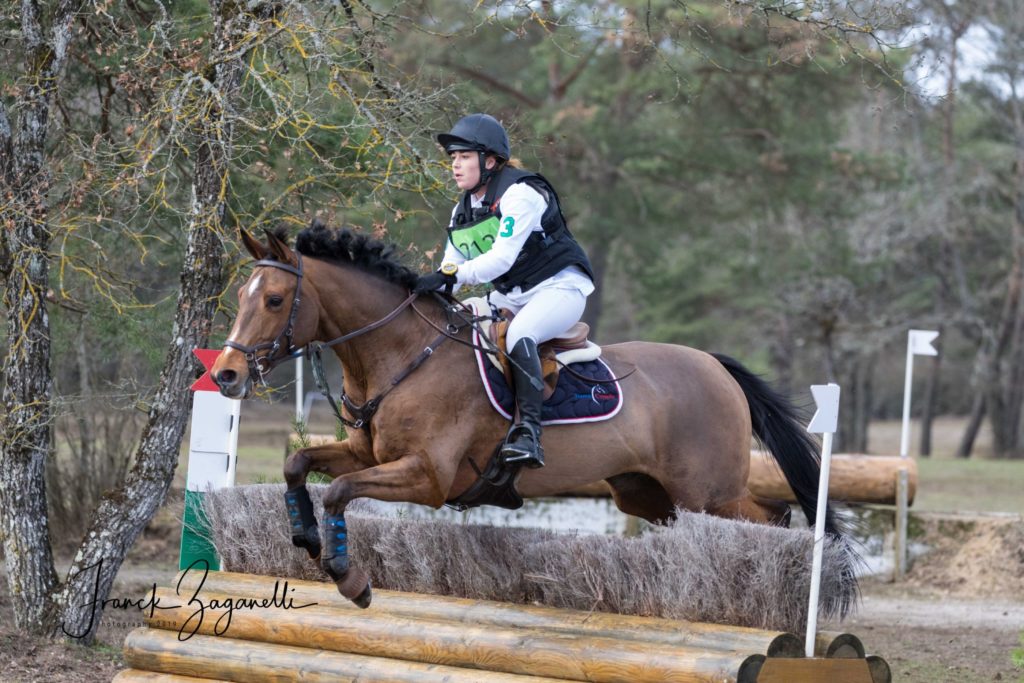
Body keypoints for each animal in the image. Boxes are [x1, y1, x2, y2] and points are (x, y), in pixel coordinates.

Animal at [209, 223, 856, 610]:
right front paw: (303, 536)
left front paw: (349, 576)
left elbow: (341, 491)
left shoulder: (428, 477)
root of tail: (715, 365)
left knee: (775, 517)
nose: (226, 376)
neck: (401, 355)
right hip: (647, 494)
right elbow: (299, 464)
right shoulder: (368, 454)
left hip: (708, 491)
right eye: (241, 297)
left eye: (274, 300)